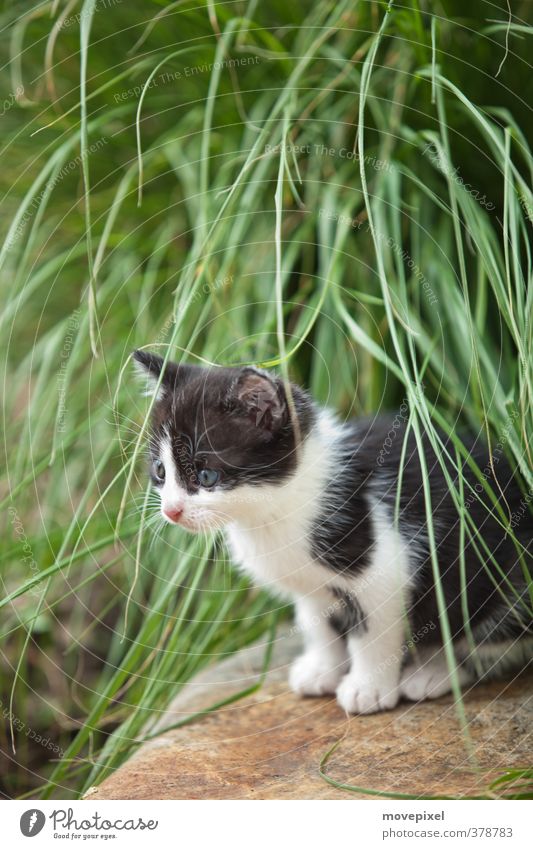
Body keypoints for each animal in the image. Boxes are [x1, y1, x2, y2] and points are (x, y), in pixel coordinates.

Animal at [133, 352, 532, 716]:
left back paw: (432, 672)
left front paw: (367, 688)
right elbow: (318, 624)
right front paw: (322, 669)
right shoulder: (311, 584)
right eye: (160, 471)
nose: (171, 510)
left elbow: (372, 634)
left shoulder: (383, 569)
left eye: (206, 476)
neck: (274, 510)